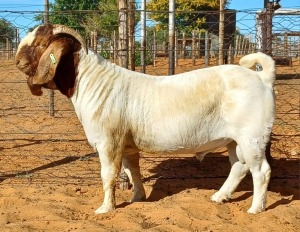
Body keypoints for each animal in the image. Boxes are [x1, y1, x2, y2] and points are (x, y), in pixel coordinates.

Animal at [15, 24, 276, 214]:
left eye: (39, 44)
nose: (17, 61)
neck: (93, 82)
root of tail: (262, 78)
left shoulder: (109, 142)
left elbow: (108, 174)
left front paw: (105, 208)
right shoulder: (128, 145)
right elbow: (133, 171)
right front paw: (137, 197)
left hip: (252, 136)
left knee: (261, 171)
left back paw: (255, 208)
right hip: (234, 140)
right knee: (239, 166)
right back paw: (220, 196)